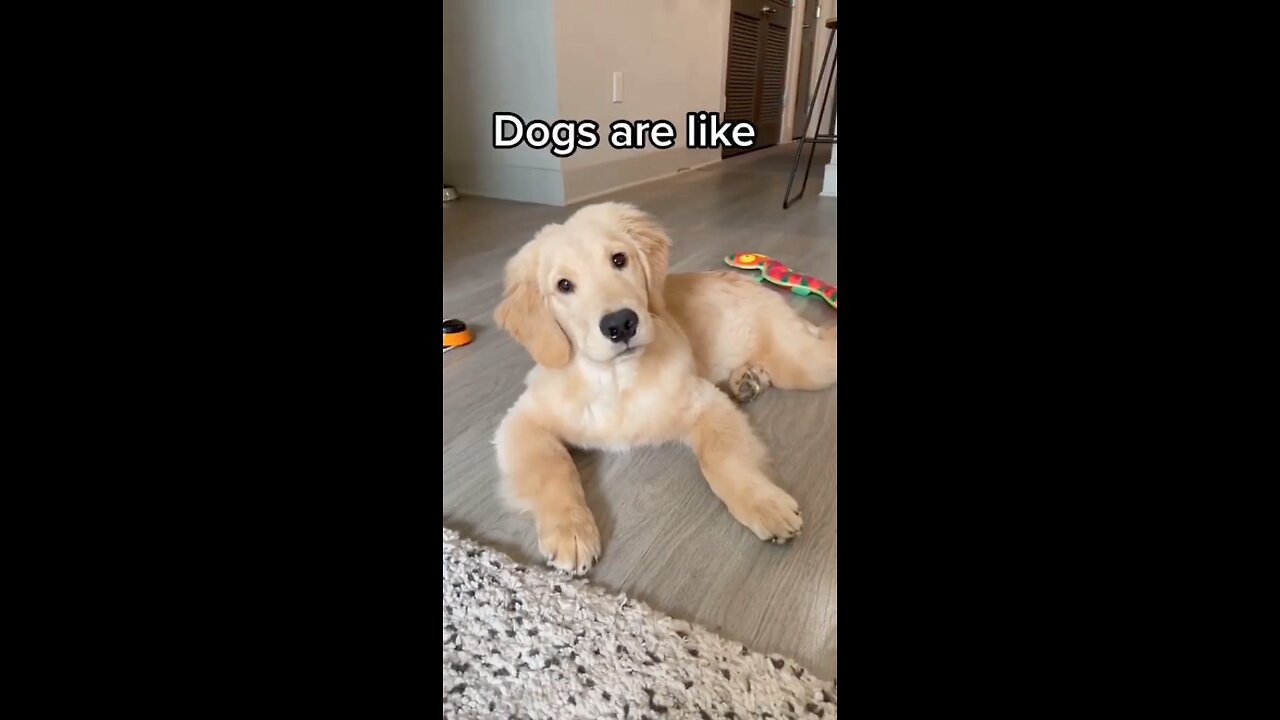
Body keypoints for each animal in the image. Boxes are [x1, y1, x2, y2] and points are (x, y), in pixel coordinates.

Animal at [491, 202, 839, 571]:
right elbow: (553, 468)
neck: (616, 379)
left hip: (804, 364)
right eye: (564, 285)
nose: (620, 324)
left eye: (619, 259)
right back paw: (748, 379)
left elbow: (721, 458)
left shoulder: (705, 401)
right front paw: (570, 530)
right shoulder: (522, 421)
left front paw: (764, 503)